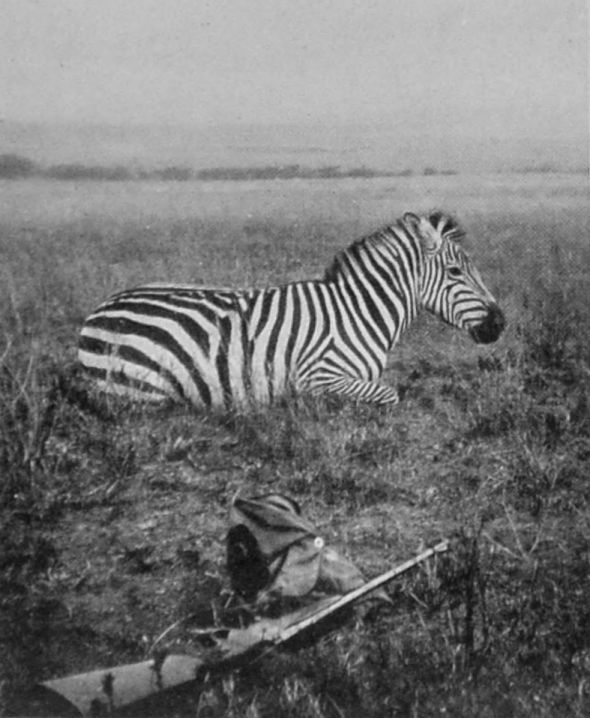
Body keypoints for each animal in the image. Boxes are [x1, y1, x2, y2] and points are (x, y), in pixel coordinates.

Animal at [78, 210, 505, 411]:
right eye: (455, 272)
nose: (500, 323)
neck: (359, 312)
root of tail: (99, 310)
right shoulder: (317, 374)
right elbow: (389, 394)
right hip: (143, 390)